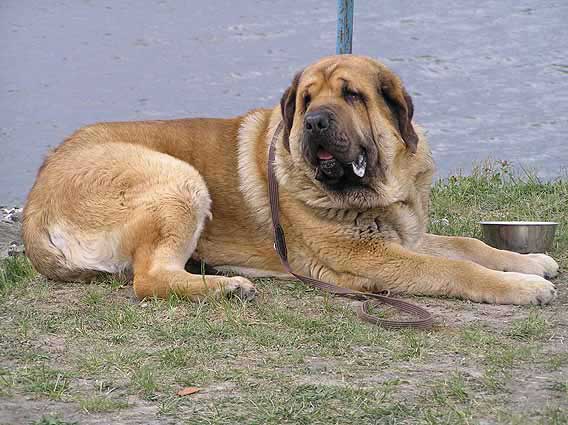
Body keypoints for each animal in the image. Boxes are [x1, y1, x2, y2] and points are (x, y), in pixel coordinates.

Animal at [23, 54, 560, 304]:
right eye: (306, 99)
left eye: (352, 95)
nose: (316, 122)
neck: (381, 189)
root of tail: (33, 203)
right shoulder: (375, 257)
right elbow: (456, 269)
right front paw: (522, 287)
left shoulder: (405, 236)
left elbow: (469, 245)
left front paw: (529, 261)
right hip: (179, 179)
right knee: (148, 279)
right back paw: (227, 286)